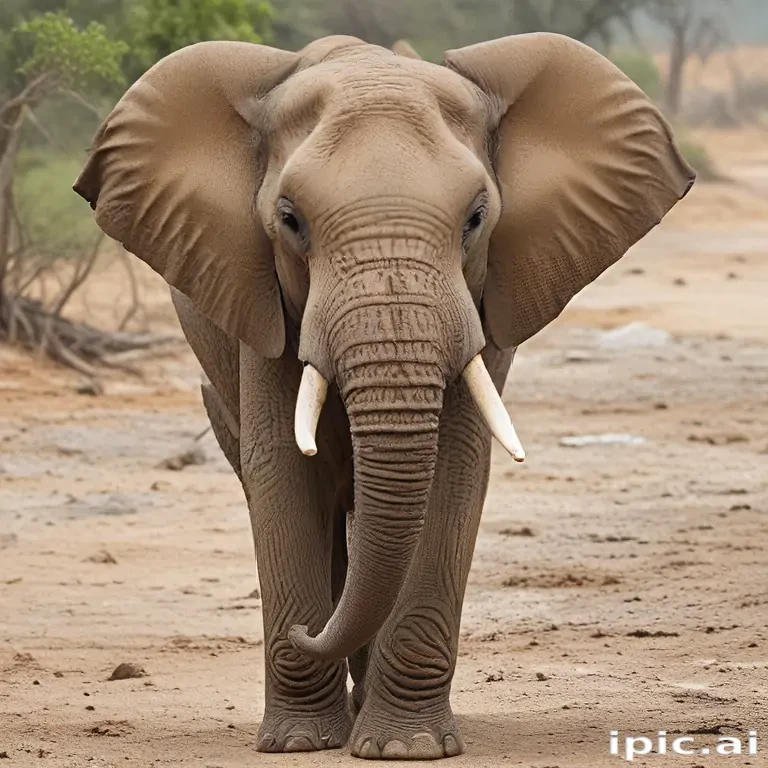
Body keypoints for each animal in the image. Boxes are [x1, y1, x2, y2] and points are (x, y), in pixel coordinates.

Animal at [74, 33, 694, 760]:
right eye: (289, 220)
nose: (302, 633)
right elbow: (283, 473)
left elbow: (453, 475)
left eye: (477, 219)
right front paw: (299, 743)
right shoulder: (260, 298)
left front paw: (408, 747)